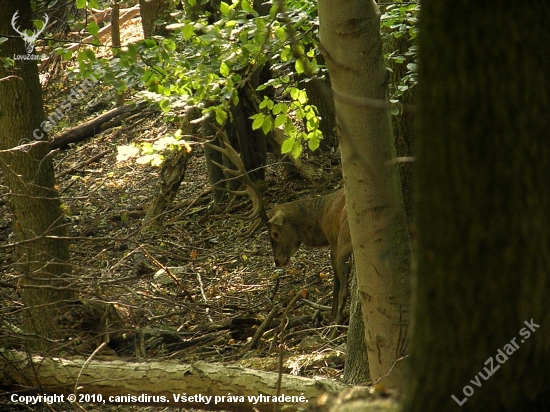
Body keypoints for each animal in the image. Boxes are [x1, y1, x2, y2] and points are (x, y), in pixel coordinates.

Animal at [207, 134, 354, 326]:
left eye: (275, 234)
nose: (277, 261)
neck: (321, 216)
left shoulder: (333, 241)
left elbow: (337, 284)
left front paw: (331, 318)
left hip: (344, 239)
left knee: (344, 288)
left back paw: (335, 325)